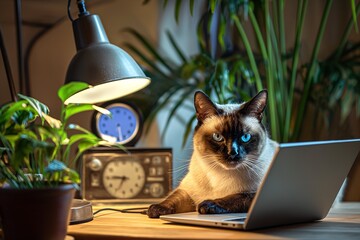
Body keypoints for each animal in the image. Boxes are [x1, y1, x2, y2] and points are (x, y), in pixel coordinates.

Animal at [148, 89, 278, 218]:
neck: (221, 174)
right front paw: (155, 209)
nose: (232, 152)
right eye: (217, 137)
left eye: (245, 137)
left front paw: (208, 205)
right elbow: (173, 198)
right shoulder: (188, 191)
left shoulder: (255, 194)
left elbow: (235, 197)